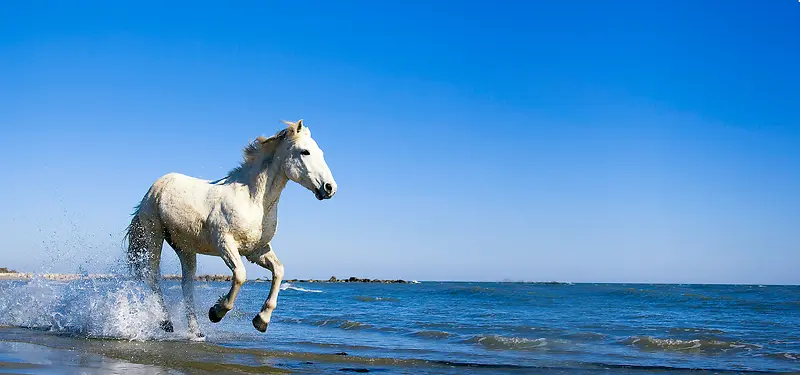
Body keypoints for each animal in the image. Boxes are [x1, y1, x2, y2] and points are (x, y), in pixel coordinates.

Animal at [126, 121, 338, 340]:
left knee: (187, 286)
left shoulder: (256, 250)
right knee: (153, 277)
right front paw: (216, 312)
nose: (330, 188)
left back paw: (196, 331)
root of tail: (155, 187)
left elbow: (279, 271)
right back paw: (166, 322)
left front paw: (261, 321)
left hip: (185, 248)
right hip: (154, 236)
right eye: (305, 152)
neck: (253, 200)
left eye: (320, 152)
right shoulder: (225, 243)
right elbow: (240, 275)